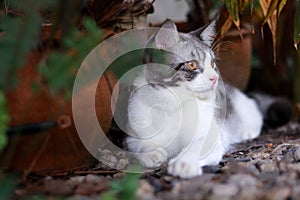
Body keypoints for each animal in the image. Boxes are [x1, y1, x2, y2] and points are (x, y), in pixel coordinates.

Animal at [123, 19, 290, 178]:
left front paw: (184, 163)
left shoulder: (210, 136)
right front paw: (153, 153)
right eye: (192, 65)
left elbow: (195, 148)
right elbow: (140, 144)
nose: (215, 78)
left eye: (212, 63)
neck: (174, 104)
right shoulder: (132, 135)